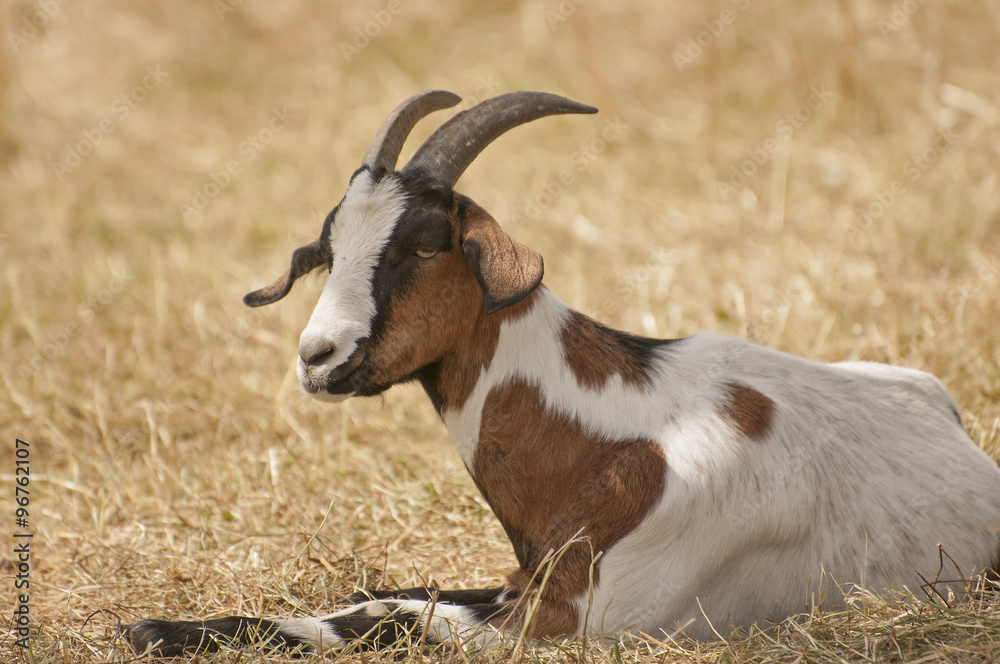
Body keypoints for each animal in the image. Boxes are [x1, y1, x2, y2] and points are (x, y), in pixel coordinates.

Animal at [127, 90, 1000, 657]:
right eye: (330, 248)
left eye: (425, 243)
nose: (319, 356)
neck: (616, 436)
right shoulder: (522, 579)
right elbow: (383, 598)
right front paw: (162, 627)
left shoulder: (576, 623)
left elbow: (397, 619)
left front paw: (156, 631)